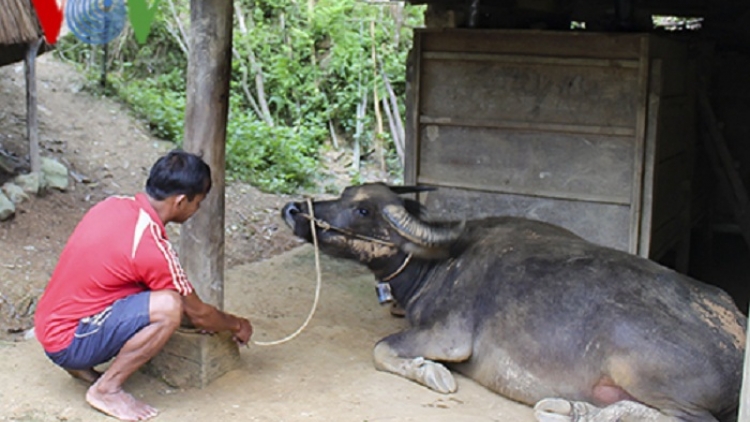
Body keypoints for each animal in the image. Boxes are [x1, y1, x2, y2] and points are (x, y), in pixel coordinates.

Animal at [282, 183, 748, 420]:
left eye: (363, 211)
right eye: (344, 196)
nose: (292, 209)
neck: (441, 262)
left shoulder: (449, 335)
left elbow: (381, 349)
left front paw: (432, 373)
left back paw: (577, 411)